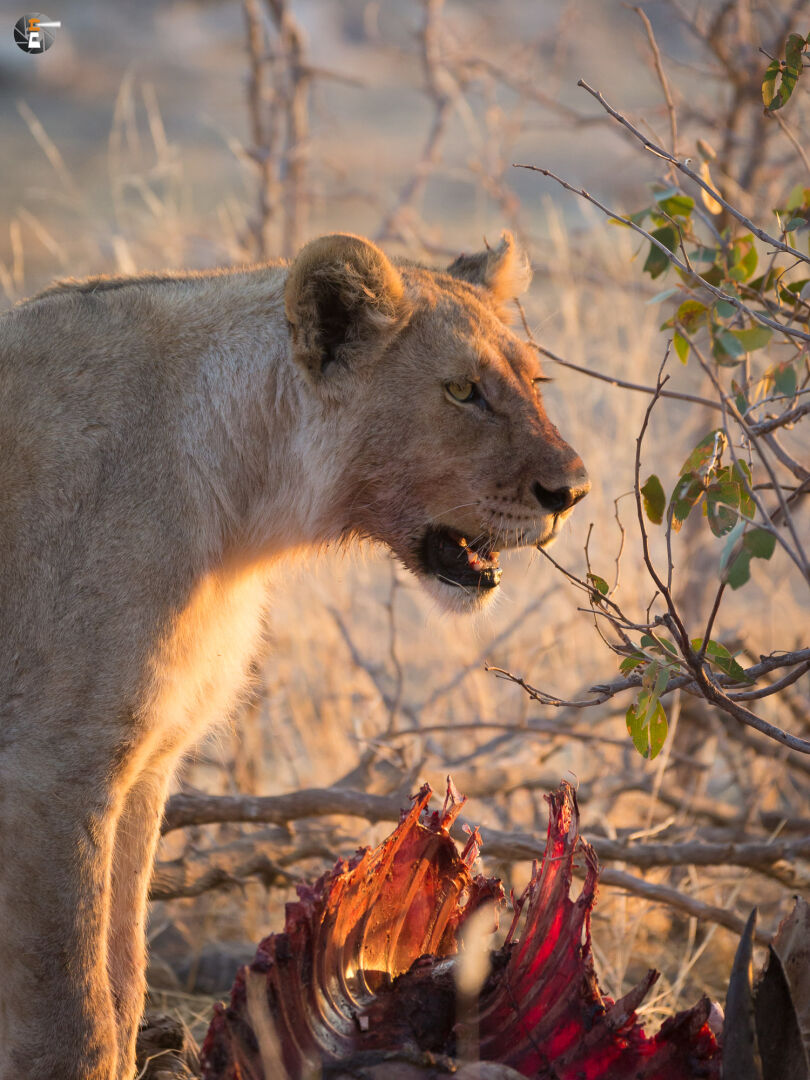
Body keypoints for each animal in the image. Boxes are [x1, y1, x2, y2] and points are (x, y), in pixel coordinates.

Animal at [0, 232, 588, 1079]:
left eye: (534, 382)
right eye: (461, 391)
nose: (572, 490)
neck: (243, 525)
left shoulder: (145, 762)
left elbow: (124, 979)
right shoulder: (53, 768)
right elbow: (73, 1019)